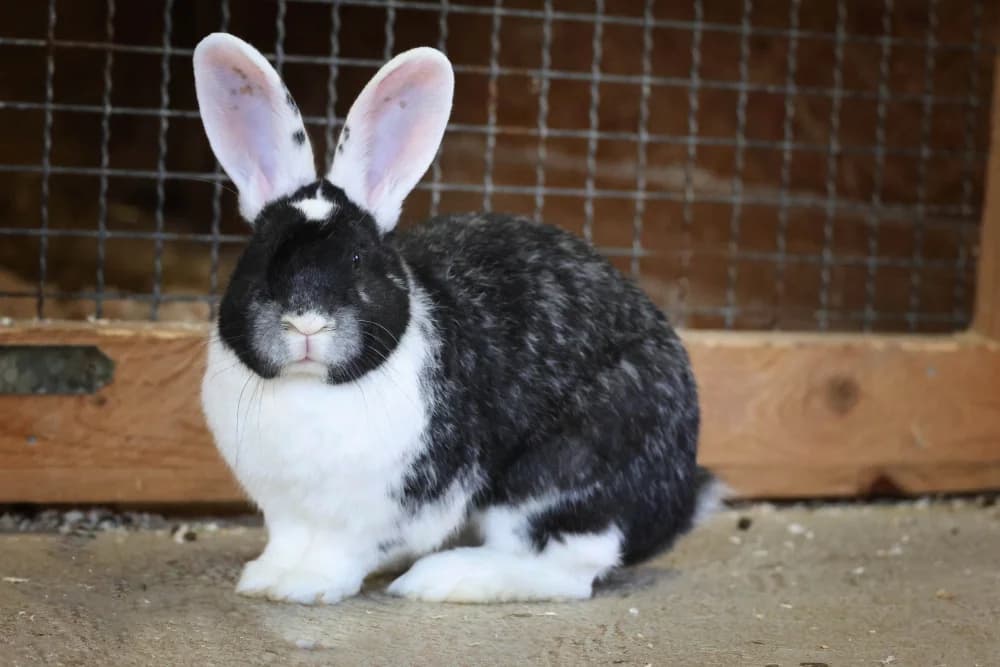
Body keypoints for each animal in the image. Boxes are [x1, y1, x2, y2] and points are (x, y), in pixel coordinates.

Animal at [194, 32, 722, 605]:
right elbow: (289, 542)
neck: (311, 387)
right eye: (260, 258)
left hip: (558, 475)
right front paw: (267, 580)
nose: (306, 323)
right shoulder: (286, 511)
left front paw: (309, 587)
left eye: (357, 259)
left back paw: (445, 578)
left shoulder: (387, 508)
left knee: (565, 568)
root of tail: (673, 500)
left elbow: (343, 551)